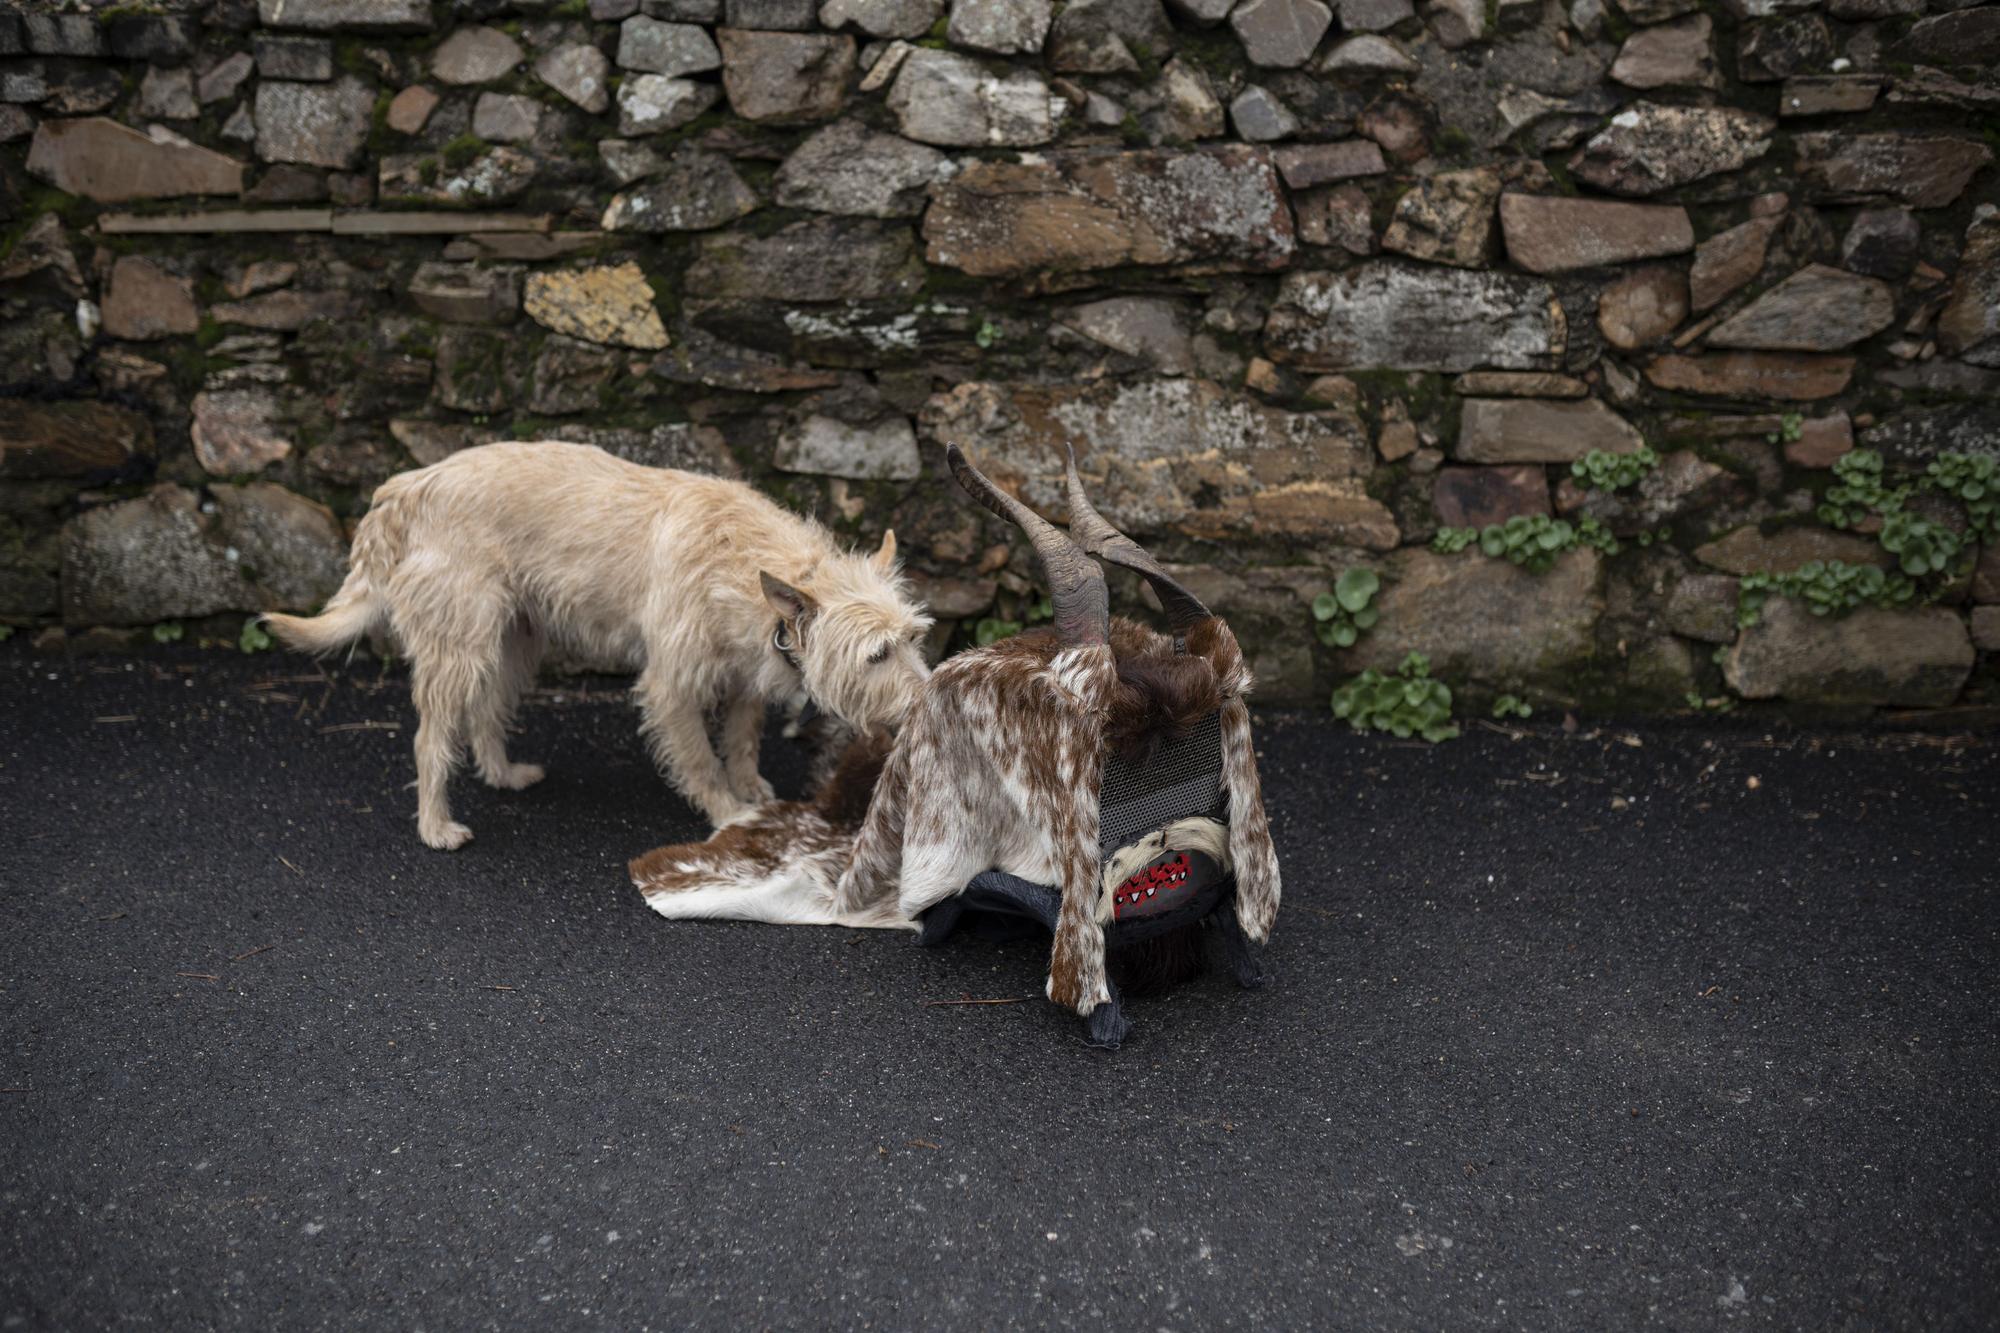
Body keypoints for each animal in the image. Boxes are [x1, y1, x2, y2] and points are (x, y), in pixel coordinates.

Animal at [260, 440, 936, 844]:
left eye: (913, 639)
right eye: (877, 655)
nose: (925, 703)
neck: (743, 563)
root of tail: (411, 486)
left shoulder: (748, 675)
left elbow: (742, 740)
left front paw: (751, 787)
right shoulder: (671, 687)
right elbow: (699, 757)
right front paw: (726, 811)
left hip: (515, 643)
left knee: (487, 711)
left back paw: (503, 774)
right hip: (461, 646)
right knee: (432, 737)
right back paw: (436, 824)